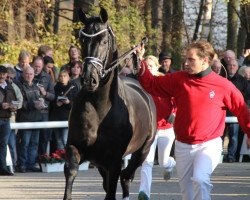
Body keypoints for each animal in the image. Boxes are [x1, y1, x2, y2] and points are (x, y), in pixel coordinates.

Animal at [62, 7, 156, 199]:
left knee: (127, 175)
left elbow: (113, 186)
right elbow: (71, 171)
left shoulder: (114, 160)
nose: (89, 79)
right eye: (82, 39)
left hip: (143, 149)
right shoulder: (76, 147)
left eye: (104, 41)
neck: (100, 107)